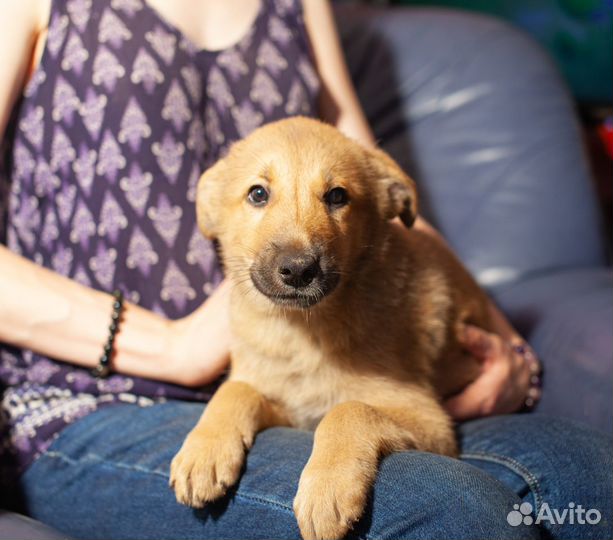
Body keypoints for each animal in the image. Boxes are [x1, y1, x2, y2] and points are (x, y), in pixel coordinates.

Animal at [169, 118, 492, 540]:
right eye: (258, 194)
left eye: (337, 196)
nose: (298, 270)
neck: (300, 334)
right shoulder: (290, 408)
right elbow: (236, 390)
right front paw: (203, 452)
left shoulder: (429, 418)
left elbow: (349, 409)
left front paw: (328, 488)